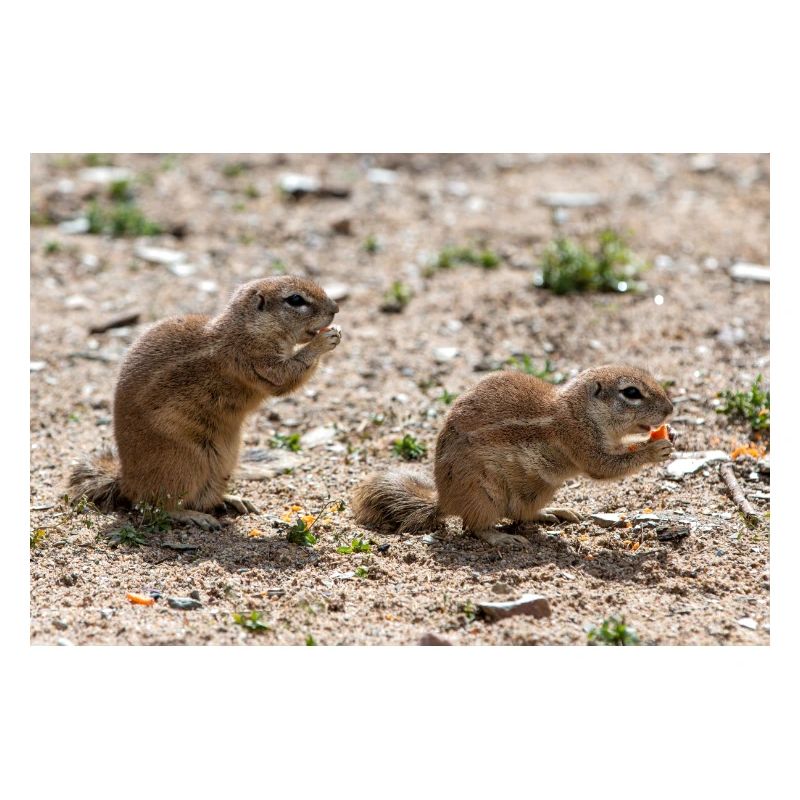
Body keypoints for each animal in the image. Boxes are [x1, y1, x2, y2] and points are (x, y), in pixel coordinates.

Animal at [68, 276, 341, 529]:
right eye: (295, 299)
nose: (336, 309)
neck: (246, 328)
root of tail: (125, 480)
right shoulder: (258, 361)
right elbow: (288, 376)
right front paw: (324, 341)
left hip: (223, 464)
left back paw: (233, 500)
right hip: (184, 464)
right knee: (156, 507)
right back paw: (195, 516)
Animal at [352, 365, 674, 548]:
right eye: (631, 393)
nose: (671, 409)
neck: (579, 410)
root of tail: (444, 500)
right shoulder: (579, 438)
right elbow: (604, 467)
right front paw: (654, 449)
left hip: (539, 489)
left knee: (520, 514)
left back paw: (553, 512)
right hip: (485, 495)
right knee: (475, 527)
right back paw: (504, 538)